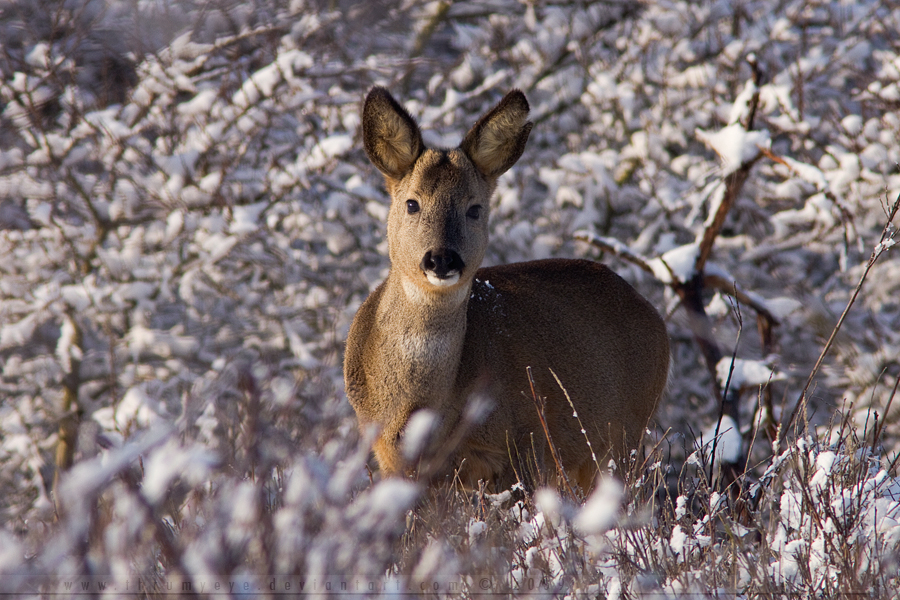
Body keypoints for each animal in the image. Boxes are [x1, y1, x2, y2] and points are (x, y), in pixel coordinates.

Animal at [344, 88, 668, 492]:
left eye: (475, 208)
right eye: (412, 203)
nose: (442, 259)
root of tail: (654, 316)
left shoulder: (528, 440)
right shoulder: (391, 458)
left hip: (626, 433)